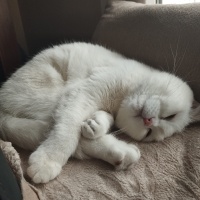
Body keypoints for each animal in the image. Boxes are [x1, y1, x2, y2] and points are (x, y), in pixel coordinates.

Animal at [0, 43, 198, 184]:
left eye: (149, 133)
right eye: (170, 116)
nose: (149, 122)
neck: (120, 100)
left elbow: (96, 123)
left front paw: (95, 124)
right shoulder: (84, 94)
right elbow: (66, 135)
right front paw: (48, 161)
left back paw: (122, 154)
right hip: (52, 96)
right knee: (58, 132)